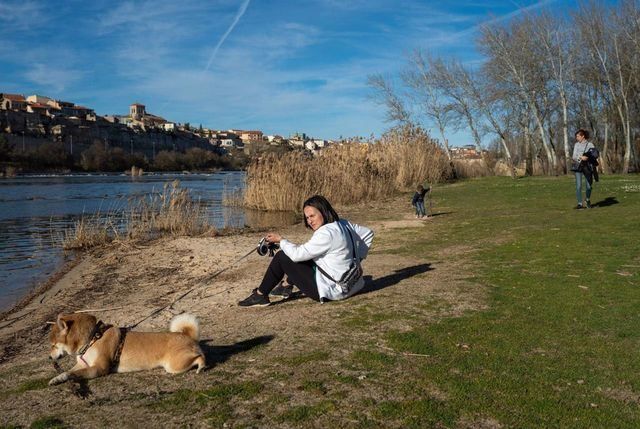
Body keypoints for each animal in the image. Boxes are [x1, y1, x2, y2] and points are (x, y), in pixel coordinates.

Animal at [48, 310, 206, 384]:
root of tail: (187, 336)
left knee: (200, 357)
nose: (49, 357)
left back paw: (201, 366)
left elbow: (73, 373)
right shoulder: (83, 364)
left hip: (173, 365)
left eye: (53, 345)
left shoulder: (99, 368)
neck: (93, 338)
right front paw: (57, 379)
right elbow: (68, 371)